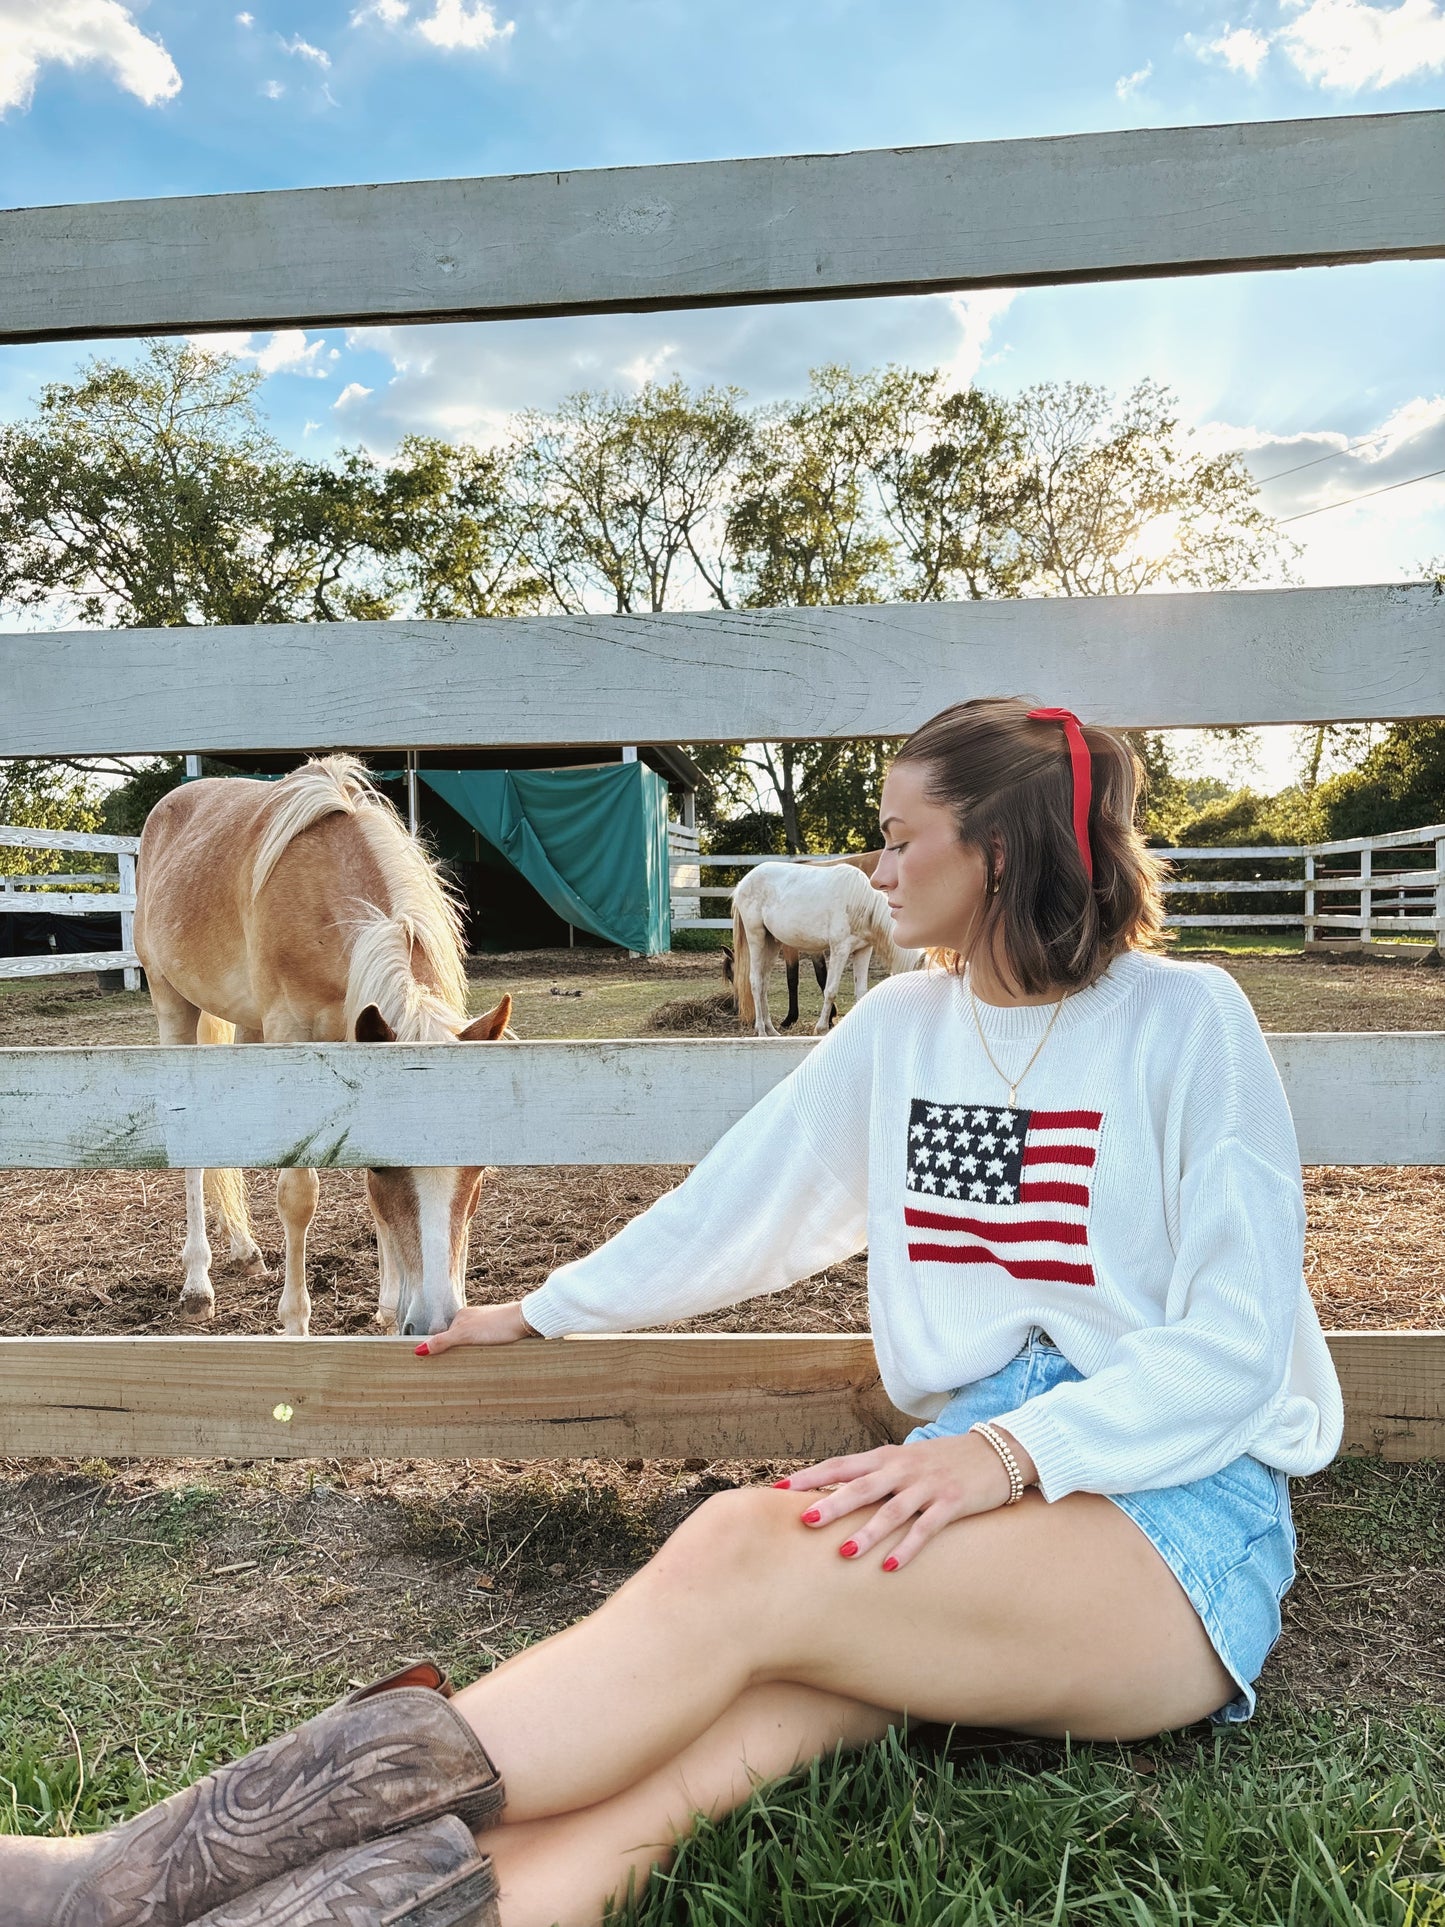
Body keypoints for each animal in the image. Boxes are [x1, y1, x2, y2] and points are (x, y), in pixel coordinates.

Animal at [131, 755, 516, 1341]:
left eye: (478, 1169)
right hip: (173, 1006)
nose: (436, 1321)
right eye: (383, 1169)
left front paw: (389, 1305)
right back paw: (198, 1283)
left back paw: (244, 1250)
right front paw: (296, 1323)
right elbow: (298, 1194)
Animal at [728, 859, 920, 1040]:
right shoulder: (839, 949)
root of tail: (743, 883)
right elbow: (830, 990)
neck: (861, 903)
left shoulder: (863, 950)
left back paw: (772, 1030)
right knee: (755, 981)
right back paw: (761, 1030)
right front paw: (821, 1028)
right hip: (756, 937)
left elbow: (861, 992)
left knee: (764, 984)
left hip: (772, 942)